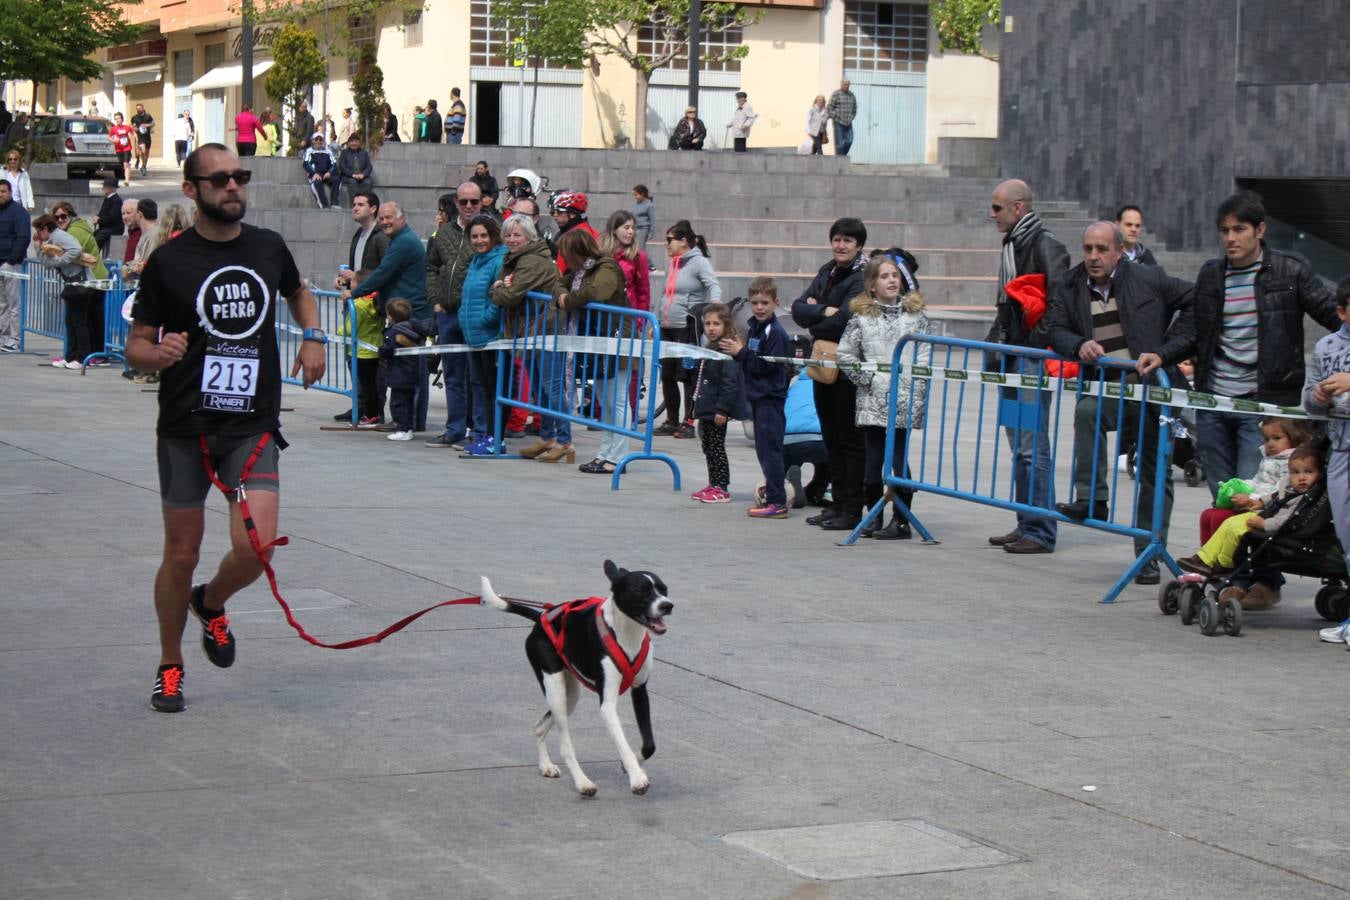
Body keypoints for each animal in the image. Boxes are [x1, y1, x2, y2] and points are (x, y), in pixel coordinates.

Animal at [483, 564, 675, 793]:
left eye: (664, 589)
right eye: (641, 591)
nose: (667, 606)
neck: (626, 633)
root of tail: (540, 619)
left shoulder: (640, 690)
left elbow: (649, 745)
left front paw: (633, 766)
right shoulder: (607, 706)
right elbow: (623, 744)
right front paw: (636, 778)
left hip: (571, 696)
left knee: (539, 727)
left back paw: (546, 766)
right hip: (555, 690)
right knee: (566, 746)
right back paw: (583, 783)